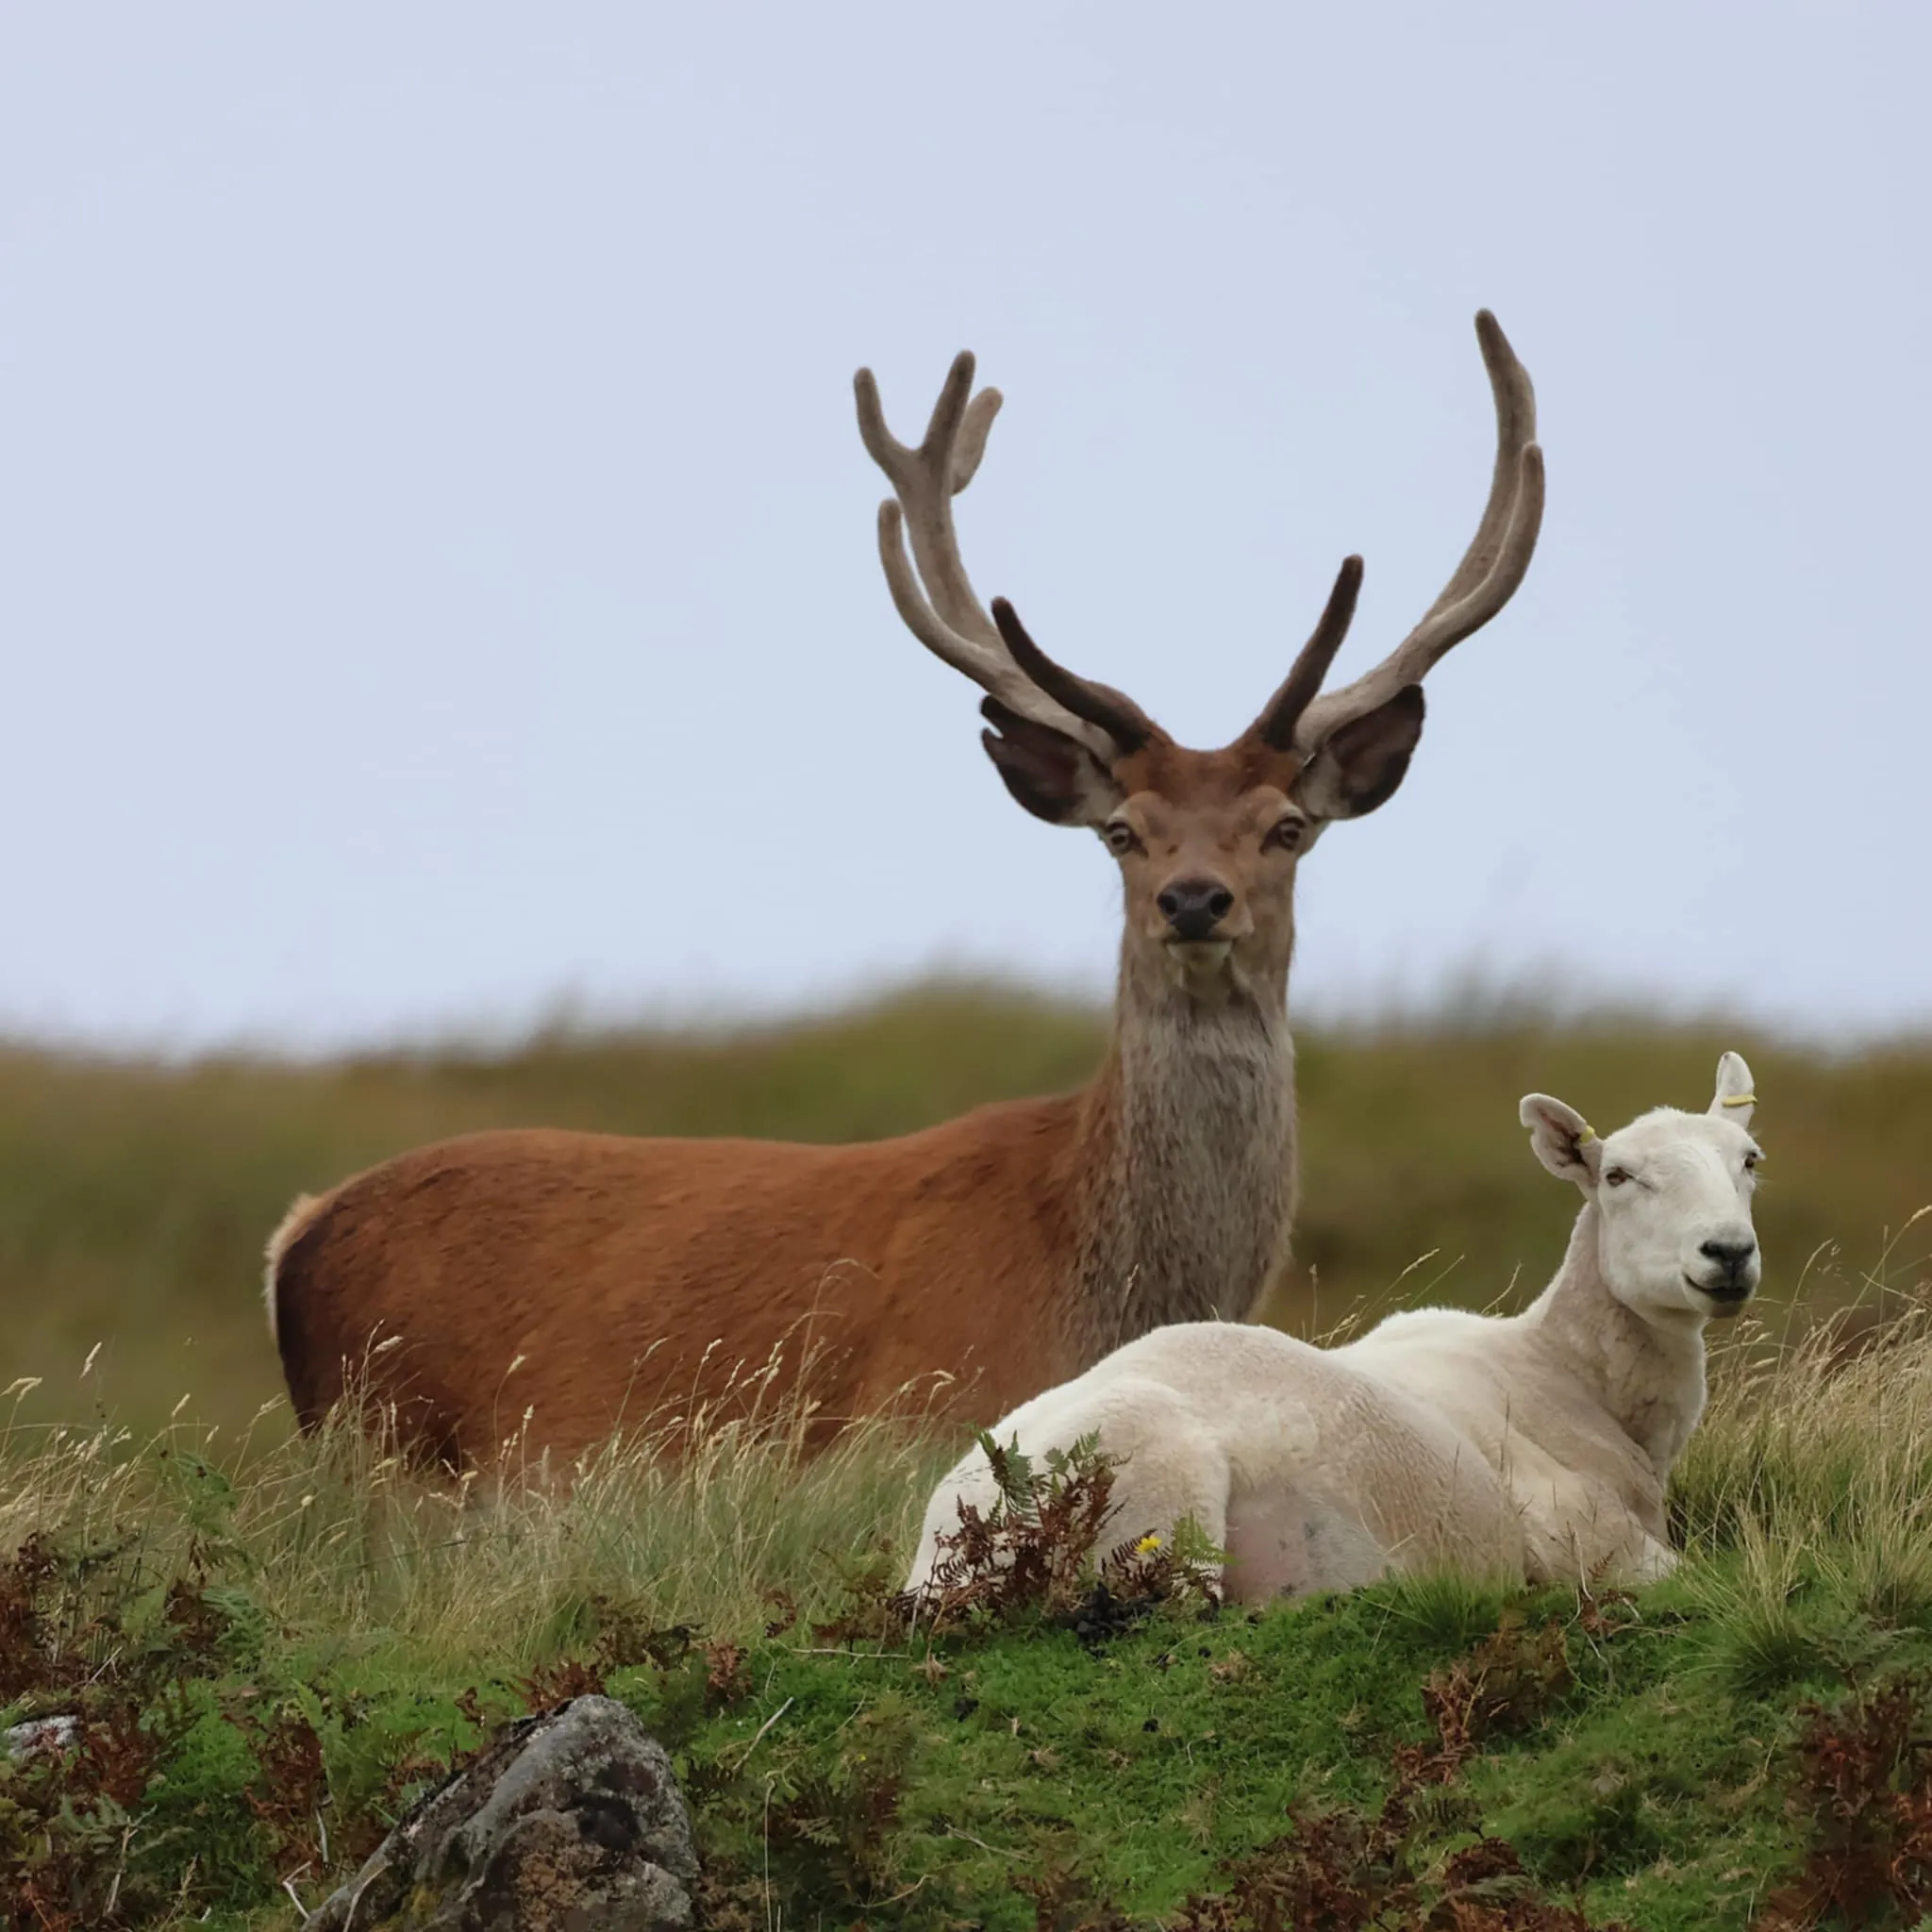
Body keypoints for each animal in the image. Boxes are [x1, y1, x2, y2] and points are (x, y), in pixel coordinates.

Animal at [266, 311, 1545, 1467]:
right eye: (1121, 832)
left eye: (1285, 827)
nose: (1192, 899)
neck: (1098, 1291)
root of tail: (298, 1232)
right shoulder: (908, 1412)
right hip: (399, 1439)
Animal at [905, 1053, 1765, 1604]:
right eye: (1617, 1175)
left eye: (1750, 1159)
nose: (1728, 1251)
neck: (1563, 1372)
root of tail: (955, 1533)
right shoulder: (1582, 1539)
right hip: (1155, 1500)